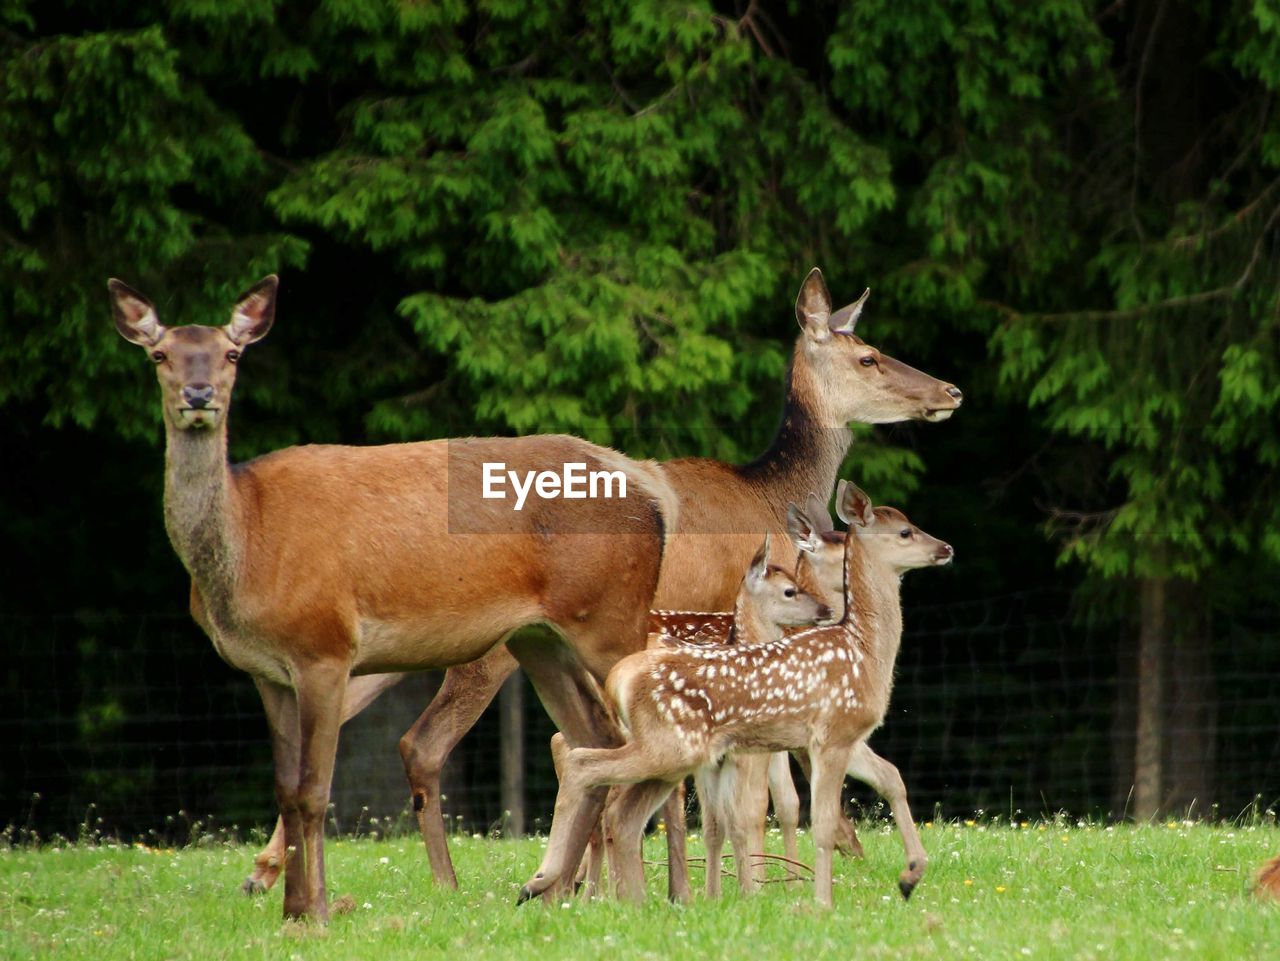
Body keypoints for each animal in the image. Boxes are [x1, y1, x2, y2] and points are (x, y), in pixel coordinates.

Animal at [108, 277, 686, 926]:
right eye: (161, 355)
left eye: (232, 354)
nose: (199, 394)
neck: (248, 542)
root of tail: (654, 490)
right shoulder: (267, 672)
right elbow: (285, 787)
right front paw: (291, 908)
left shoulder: (325, 646)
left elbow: (314, 790)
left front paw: (318, 912)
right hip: (538, 638)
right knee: (594, 736)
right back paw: (551, 888)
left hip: (609, 616)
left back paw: (663, 891)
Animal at [517, 481, 952, 911]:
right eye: (905, 532)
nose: (945, 547)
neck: (863, 651)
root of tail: (620, 677)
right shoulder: (830, 733)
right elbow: (813, 821)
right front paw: (814, 901)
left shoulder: (833, 738)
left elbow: (889, 777)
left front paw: (910, 875)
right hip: (671, 746)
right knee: (584, 766)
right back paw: (549, 883)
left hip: (673, 756)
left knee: (617, 806)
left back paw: (619, 899)